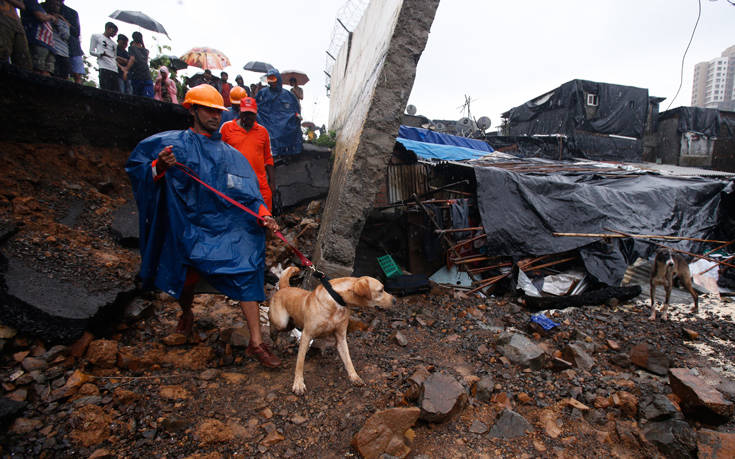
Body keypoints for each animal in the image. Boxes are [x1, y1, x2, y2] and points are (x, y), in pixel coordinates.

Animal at [270, 266, 396, 396]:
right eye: (381, 290)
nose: (395, 300)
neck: (337, 299)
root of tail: (285, 287)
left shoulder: (341, 338)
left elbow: (348, 360)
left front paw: (354, 376)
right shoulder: (306, 335)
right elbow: (300, 363)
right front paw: (298, 384)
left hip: (290, 323)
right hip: (282, 322)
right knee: (274, 328)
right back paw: (275, 340)